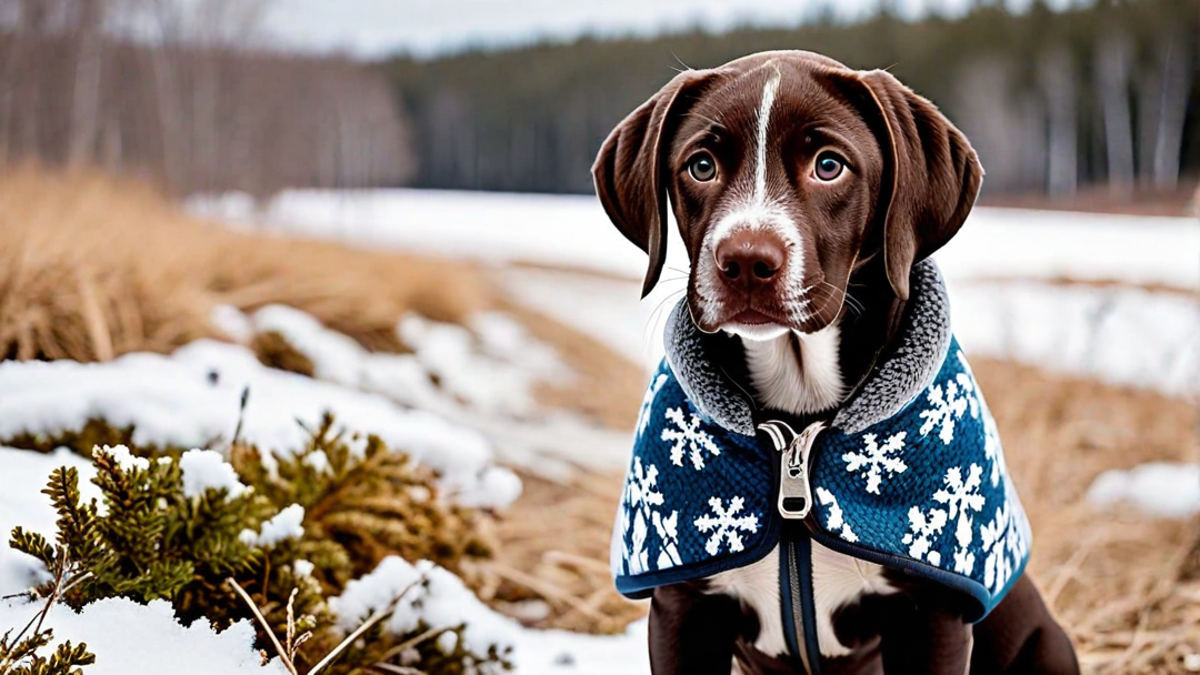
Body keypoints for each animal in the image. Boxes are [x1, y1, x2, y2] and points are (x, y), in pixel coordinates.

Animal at [592, 52, 1080, 672]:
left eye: (829, 166)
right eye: (700, 166)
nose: (745, 262)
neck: (798, 416)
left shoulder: (932, 619)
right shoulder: (684, 612)